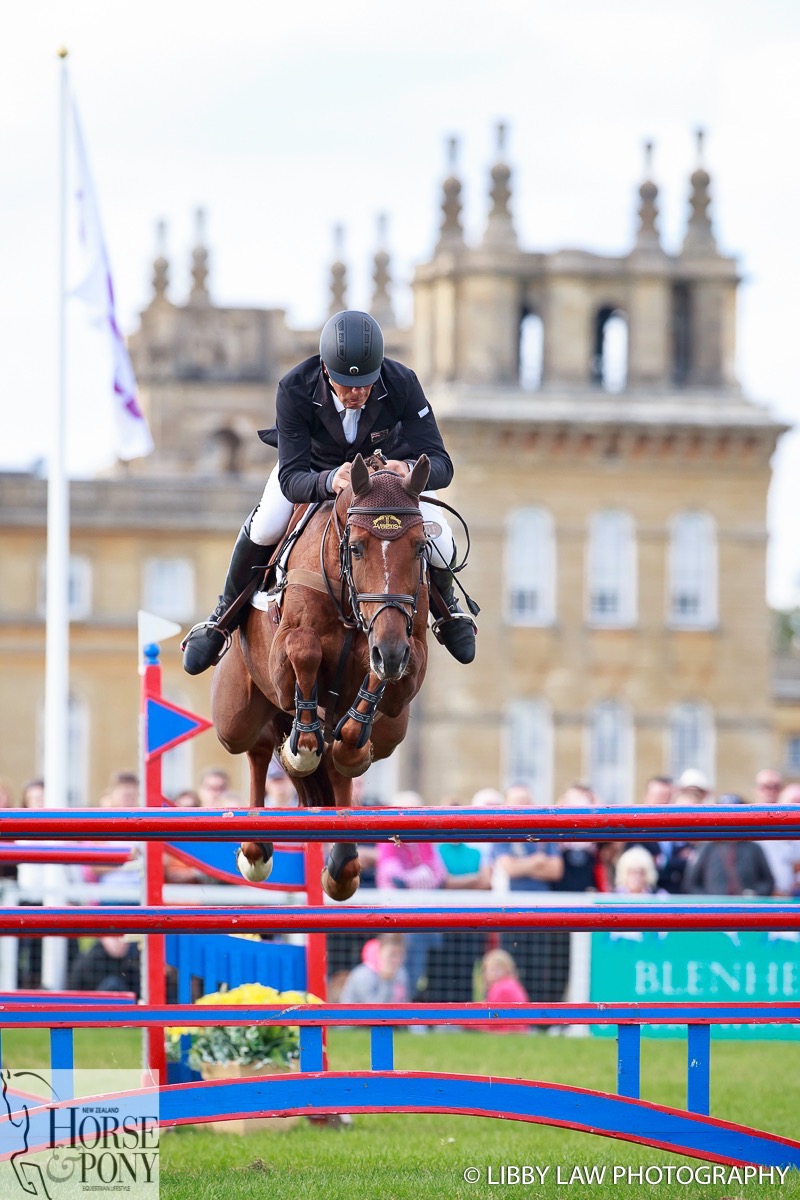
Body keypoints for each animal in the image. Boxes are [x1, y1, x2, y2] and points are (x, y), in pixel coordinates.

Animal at [208, 456, 431, 902]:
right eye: (356, 546)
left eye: (419, 546)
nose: (389, 649)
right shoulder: (284, 657)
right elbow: (304, 649)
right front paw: (304, 746)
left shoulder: (405, 649)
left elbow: (389, 673)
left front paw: (345, 740)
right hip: (234, 718)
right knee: (258, 747)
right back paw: (256, 846)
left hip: (391, 732)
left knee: (341, 768)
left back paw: (343, 862)